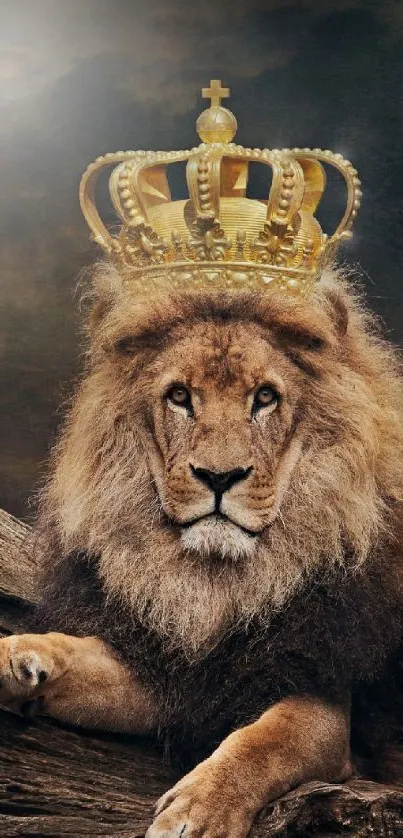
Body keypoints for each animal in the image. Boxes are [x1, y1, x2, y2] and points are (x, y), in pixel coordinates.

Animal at [1, 264, 403, 837]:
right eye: (179, 396)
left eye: (265, 397)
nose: (219, 476)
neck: (212, 588)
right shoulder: (168, 670)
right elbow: (76, 653)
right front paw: (15, 657)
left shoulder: (323, 698)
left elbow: (265, 742)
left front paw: (198, 810)